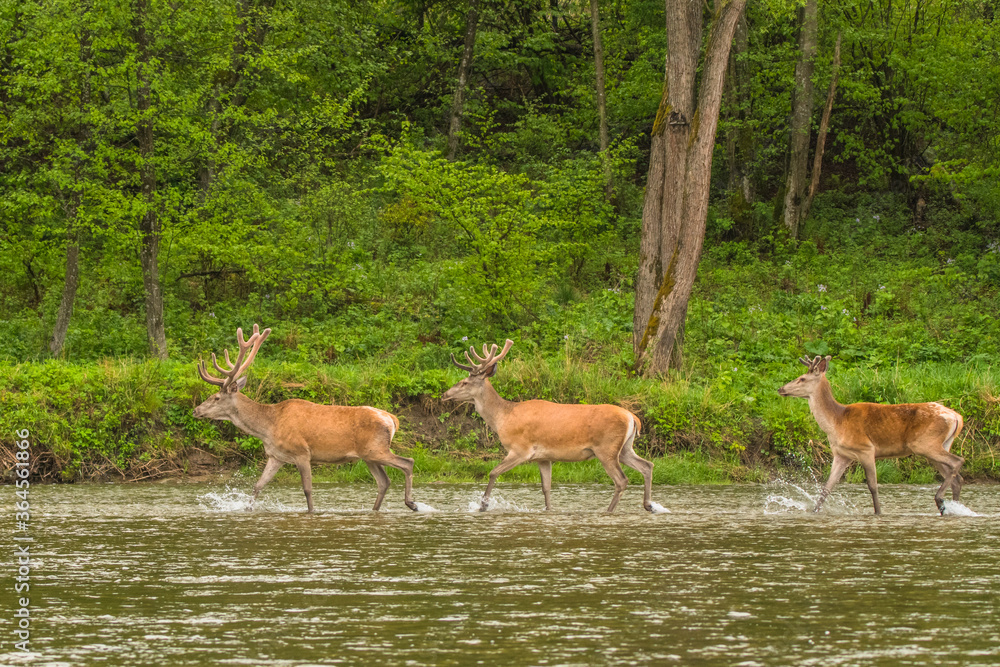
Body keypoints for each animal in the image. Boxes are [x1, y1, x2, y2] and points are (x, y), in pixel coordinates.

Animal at [193, 324, 420, 513]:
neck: (268, 427)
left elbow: (307, 490)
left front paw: (311, 512)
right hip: (368, 455)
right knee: (384, 481)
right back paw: (376, 510)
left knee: (407, 462)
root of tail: (392, 418)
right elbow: (258, 485)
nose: (196, 410)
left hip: (376, 448)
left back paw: (411, 503)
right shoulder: (276, 456)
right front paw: (247, 509)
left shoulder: (302, 452)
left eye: (216, 397)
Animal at [442, 339, 657, 513]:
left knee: (622, 480)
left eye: (464, 382)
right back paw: (648, 505)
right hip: (624, 448)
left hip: (606, 448)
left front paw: (483, 506)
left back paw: (610, 510)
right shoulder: (543, 457)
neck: (503, 417)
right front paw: (548, 510)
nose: (445, 394)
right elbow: (546, 487)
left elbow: (493, 472)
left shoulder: (520, 449)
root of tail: (632, 417)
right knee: (647, 465)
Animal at [779, 354, 965, 516]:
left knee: (958, 461)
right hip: (938, 445)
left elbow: (873, 486)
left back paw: (940, 499)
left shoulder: (866, 449)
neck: (836, 423)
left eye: (802, 378)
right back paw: (952, 507)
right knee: (957, 478)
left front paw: (878, 512)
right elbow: (827, 488)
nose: (781, 389)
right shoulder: (842, 455)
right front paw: (814, 511)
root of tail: (957, 417)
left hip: (925, 443)